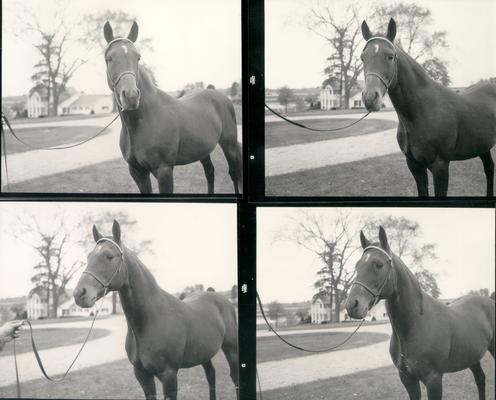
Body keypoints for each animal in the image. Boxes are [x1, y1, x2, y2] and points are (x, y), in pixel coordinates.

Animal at [72, 220, 240, 398]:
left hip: (231, 350)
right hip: (204, 353)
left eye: (109, 256)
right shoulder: (142, 375)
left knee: (235, 378)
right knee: (211, 375)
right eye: (89, 257)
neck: (150, 320)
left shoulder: (169, 375)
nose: (79, 293)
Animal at [103, 21, 243, 194]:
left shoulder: (164, 171)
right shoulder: (137, 172)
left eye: (138, 57)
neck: (144, 120)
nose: (131, 96)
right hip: (203, 150)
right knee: (210, 172)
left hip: (229, 146)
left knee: (234, 174)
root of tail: (221, 96)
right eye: (109, 58)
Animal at [346, 227, 494, 398]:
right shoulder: (407, 378)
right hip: (472, 357)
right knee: (480, 379)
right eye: (357, 266)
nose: (351, 305)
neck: (417, 324)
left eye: (378, 264)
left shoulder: (433, 379)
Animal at [360, 18, 496, 197]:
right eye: (363, 58)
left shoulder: (440, 166)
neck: (421, 111)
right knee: (489, 169)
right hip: (482, 146)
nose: (370, 98)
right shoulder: (414, 165)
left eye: (390, 56)